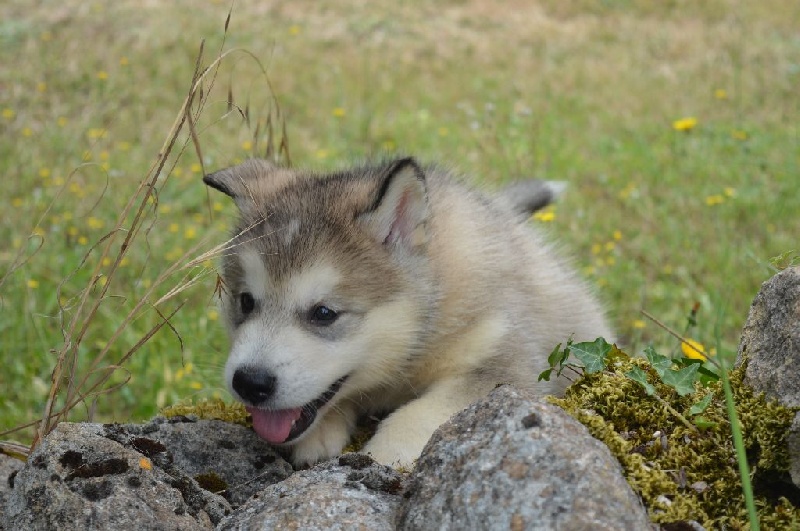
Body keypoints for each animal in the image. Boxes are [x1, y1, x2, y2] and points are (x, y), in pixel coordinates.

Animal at [203, 157, 608, 466]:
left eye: (324, 313)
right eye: (245, 301)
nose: (249, 383)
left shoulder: (507, 362)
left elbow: (424, 410)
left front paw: (385, 452)